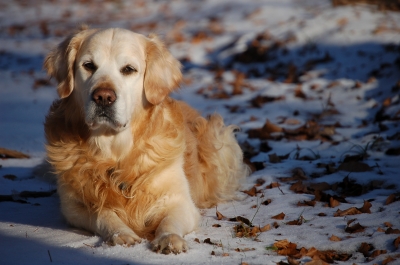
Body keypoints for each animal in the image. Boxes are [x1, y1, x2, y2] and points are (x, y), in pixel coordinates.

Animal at [45, 27, 248, 254]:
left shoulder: (180, 202)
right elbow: (102, 214)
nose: (103, 96)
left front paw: (169, 239)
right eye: (88, 65)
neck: (115, 152)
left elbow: (170, 221)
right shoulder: (73, 207)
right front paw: (122, 235)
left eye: (128, 69)